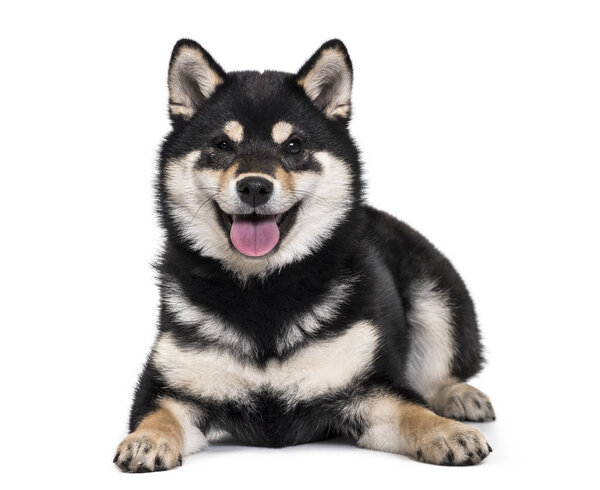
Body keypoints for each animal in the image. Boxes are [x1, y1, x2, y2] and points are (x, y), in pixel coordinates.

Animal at [115, 39, 494, 470]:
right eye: (222, 145)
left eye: (293, 145)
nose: (254, 186)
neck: (263, 293)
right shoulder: (170, 388)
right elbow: (157, 414)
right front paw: (147, 440)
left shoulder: (370, 389)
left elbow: (413, 410)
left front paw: (446, 432)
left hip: (436, 297)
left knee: (439, 372)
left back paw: (459, 397)